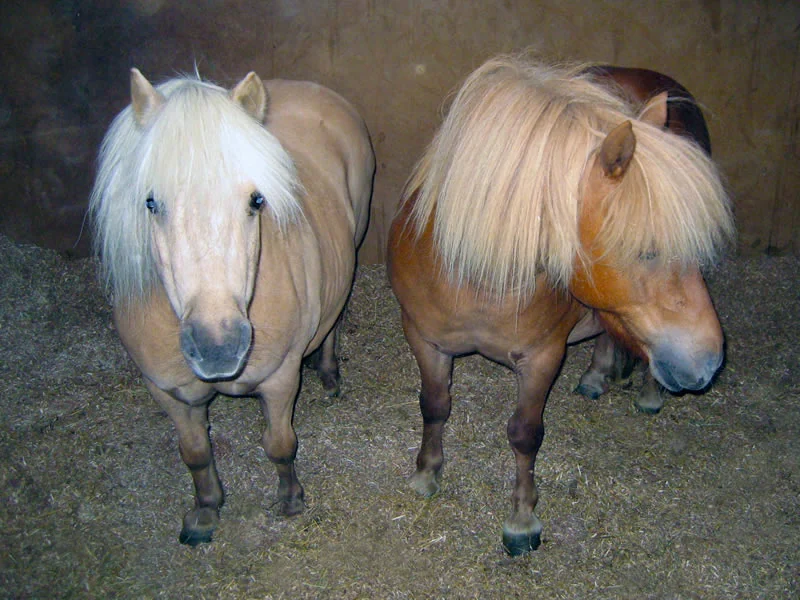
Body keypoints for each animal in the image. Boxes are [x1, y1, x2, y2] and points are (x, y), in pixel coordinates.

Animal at [90, 69, 374, 545]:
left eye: (256, 200)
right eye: (151, 202)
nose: (218, 346)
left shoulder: (279, 380)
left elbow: (280, 444)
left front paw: (290, 500)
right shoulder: (168, 393)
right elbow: (195, 452)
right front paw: (206, 511)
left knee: (334, 319)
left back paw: (329, 371)